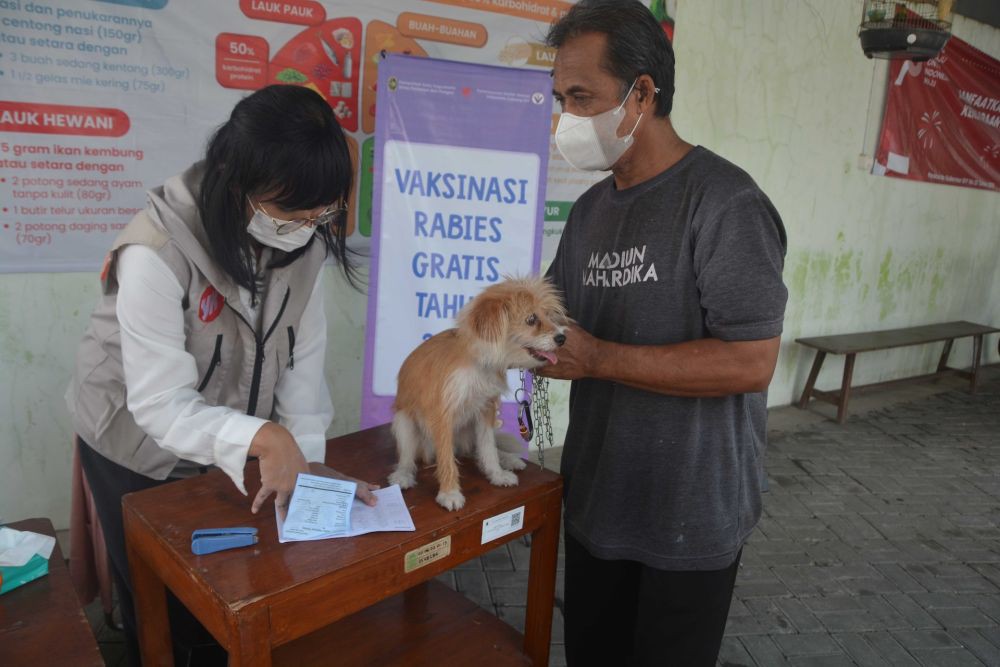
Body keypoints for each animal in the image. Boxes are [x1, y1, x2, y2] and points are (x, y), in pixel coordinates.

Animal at [386, 276, 568, 512]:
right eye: (531, 319)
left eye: (548, 315)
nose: (562, 338)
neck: (478, 365)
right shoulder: (442, 416)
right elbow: (447, 459)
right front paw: (450, 493)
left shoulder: (485, 410)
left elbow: (488, 447)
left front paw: (497, 475)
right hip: (404, 423)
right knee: (408, 457)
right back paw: (403, 475)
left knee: (478, 450)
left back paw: (508, 460)